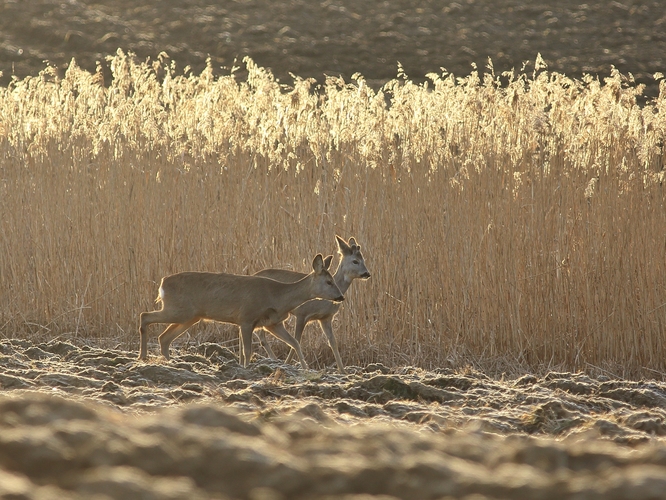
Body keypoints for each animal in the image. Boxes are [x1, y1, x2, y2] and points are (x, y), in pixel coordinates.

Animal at [136, 254, 342, 368]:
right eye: (328, 282)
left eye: (334, 280)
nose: (341, 297)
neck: (277, 295)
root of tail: (163, 283)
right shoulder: (246, 317)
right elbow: (247, 351)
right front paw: (245, 370)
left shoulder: (272, 323)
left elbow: (295, 343)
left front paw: (306, 369)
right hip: (178, 310)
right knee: (145, 316)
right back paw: (143, 356)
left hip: (189, 316)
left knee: (164, 337)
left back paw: (171, 363)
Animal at [254, 236, 368, 374]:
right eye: (355, 261)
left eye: (364, 259)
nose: (367, 273)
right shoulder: (302, 313)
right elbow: (296, 340)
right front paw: (288, 364)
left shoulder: (326, 318)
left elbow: (333, 342)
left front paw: (343, 371)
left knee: (261, 334)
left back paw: (273, 360)